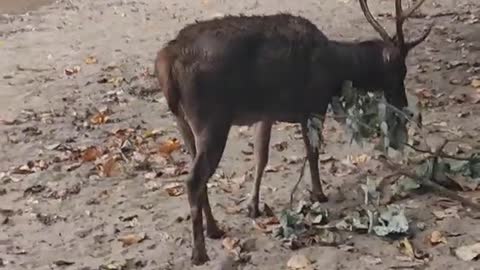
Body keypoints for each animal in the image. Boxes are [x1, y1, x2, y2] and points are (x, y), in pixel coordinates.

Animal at [156, 0, 434, 266]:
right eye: (399, 69)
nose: (404, 105)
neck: (336, 71)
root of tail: (166, 60)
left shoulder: (266, 113)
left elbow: (261, 158)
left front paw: (253, 207)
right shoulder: (313, 104)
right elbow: (313, 152)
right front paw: (319, 193)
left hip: (183, 120)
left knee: (198, 175)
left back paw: (214, 229)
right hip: (212, 118)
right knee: (194, 179)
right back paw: (199, 252)